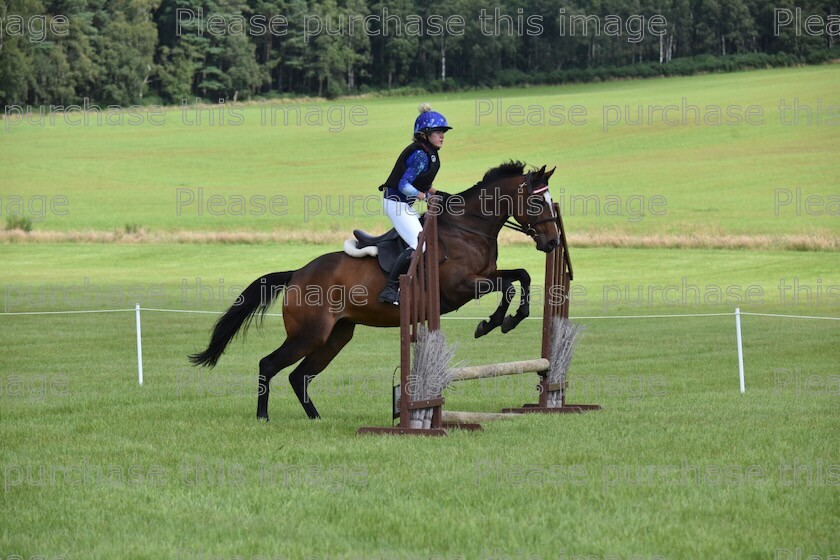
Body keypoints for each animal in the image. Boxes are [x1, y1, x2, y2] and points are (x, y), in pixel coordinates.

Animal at [189, 161, 556, 420]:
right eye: (537, 204)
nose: (552, 243)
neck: (468, 229)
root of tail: (297, 275)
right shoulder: (461, 286)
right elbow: (507, 287)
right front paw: (491, 323)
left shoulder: (485, 275)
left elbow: (521, 277)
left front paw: (511, 319)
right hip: (309, 334)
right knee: (269, 365)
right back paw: (263, 416)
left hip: (336, 336)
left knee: (299, 376)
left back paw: (315, 417)